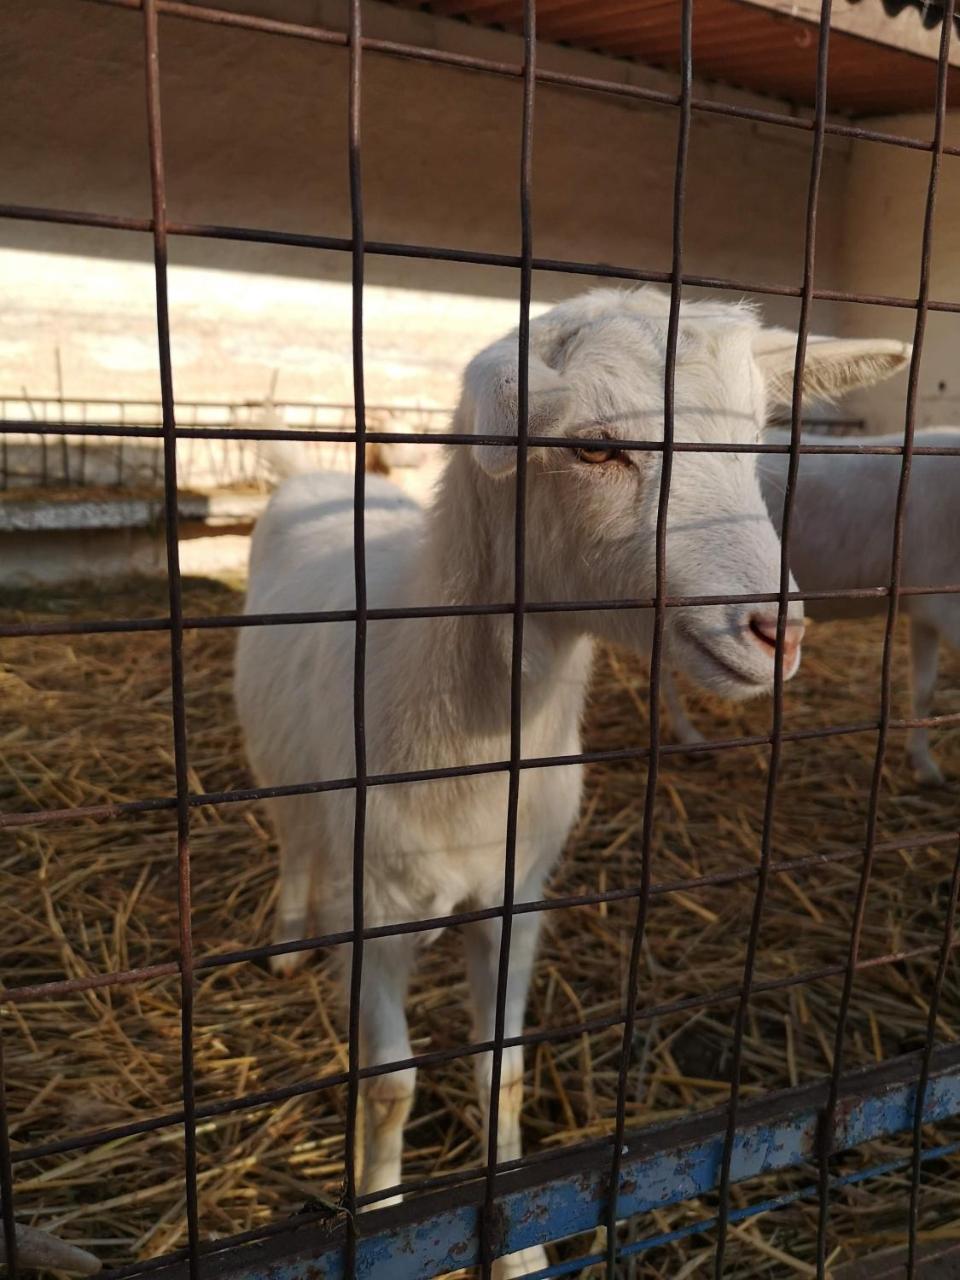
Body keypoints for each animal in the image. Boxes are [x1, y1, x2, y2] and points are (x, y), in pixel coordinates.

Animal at [232, 290, 901, 1280]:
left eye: (753, 438)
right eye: (593, 447)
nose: (776, 631)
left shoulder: (520, 896)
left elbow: (501, 1072)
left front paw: (516, 1247)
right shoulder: (372, 910)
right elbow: (389, 1087)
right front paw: (382, 1217)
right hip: (277, 766)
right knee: (292, 840)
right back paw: (283, 942)